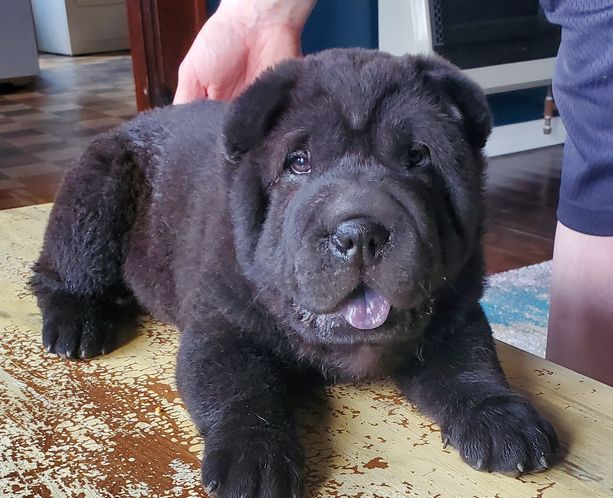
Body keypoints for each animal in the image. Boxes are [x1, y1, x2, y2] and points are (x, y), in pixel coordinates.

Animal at [31, 49, 558, 497]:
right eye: (299, 162)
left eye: (418, 157)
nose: (360, 232)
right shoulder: (222, 326)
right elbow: (239, 386)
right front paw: (253, 457)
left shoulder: (456, 311)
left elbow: (472, 362)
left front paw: (502, 419)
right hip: (96, 196)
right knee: (58, 271)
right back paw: (77, 323)